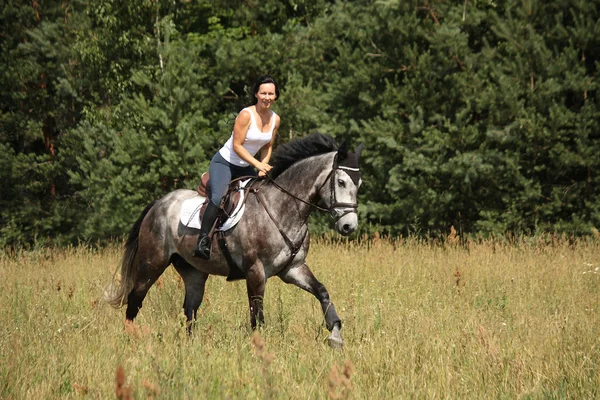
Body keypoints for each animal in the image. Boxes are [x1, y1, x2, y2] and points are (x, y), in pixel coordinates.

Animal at [105, 133, 364, 348]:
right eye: (341, 182)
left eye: (359, 184)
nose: (349, 226)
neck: (283, 207)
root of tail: (159, 203)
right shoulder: (255, 272)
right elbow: (257, 315)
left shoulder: (293, 269)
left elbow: (322, 292)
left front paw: (335, 335)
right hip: (152, 263)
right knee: (135, 299)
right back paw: (130, 340)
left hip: (194, 272)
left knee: (190, 310)